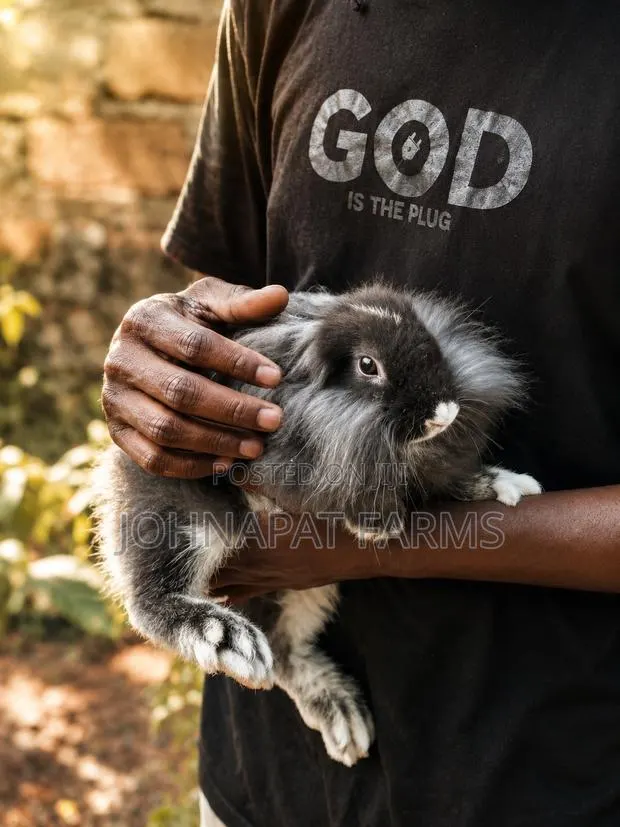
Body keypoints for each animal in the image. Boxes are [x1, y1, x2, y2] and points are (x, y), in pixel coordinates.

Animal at [93, 282, 542, 767]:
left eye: (431, 341)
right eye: (368, 365)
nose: (444, 413)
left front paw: (501, 483)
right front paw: (378, 525)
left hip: (306, 593)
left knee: (284, 652)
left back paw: (340, 714)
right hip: (183, 517)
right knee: (150, 601)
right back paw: (227, 640)